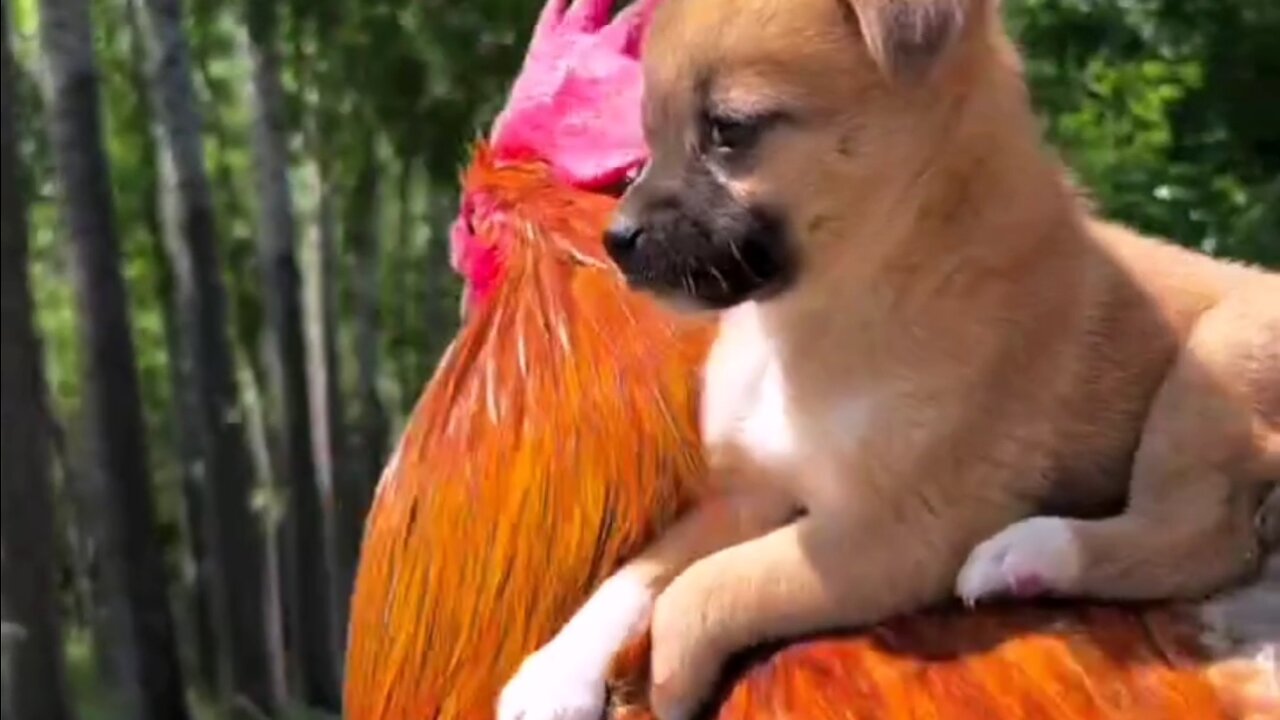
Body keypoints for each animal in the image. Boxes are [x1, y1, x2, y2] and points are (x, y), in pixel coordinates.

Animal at [494, 1, 1274, 717]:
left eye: (730, 130)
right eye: (647, 129)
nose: (616, 241)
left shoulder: (895, 531)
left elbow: (705, 589)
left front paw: (664, 687)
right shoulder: (750, 493)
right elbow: (637, 574)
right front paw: (551, 677)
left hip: (1211, 373)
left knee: (1204, 538)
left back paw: (1029, 554)